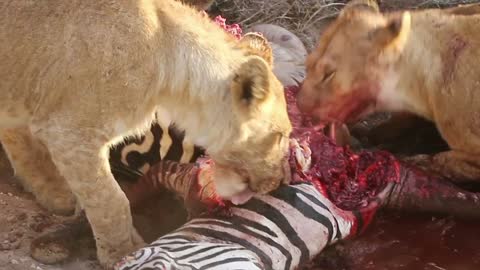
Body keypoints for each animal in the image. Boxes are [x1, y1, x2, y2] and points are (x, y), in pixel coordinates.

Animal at [0, 0, 292, 266]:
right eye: (280, 136)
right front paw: (122, 254)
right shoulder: (70, 133)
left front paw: (54, 192)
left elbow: (20, 141)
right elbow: (111, 201)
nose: (279, 181)